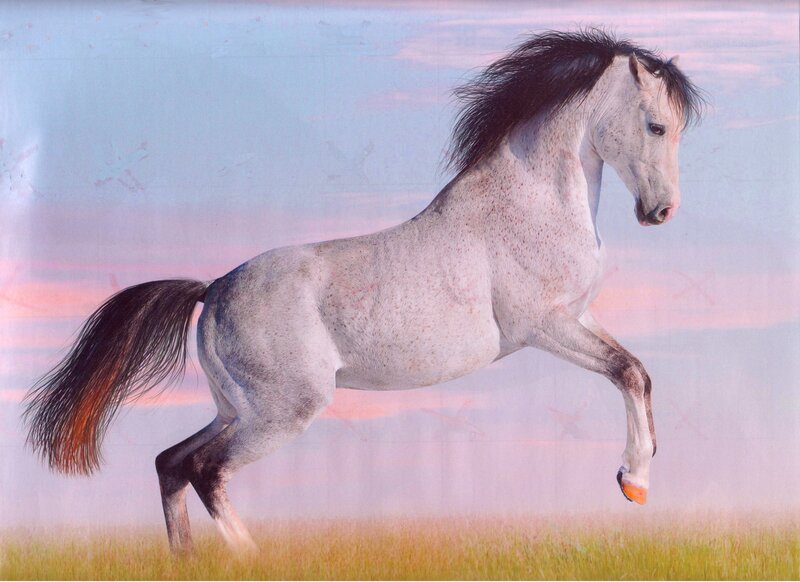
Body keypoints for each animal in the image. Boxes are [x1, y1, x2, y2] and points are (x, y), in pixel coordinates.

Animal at [24, 29, 704, 553]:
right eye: (655, 126)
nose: (661, 212)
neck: (531, 203)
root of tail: (212, 290)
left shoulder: (574, 321)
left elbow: (639, 372)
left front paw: (637, 480)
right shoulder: (544, 326)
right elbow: (627, 372)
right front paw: (633, 480)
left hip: (237, 408)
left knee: (170, 462)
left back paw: (187, 560)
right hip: (282, 412)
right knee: (203, 470)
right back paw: (249, 558)